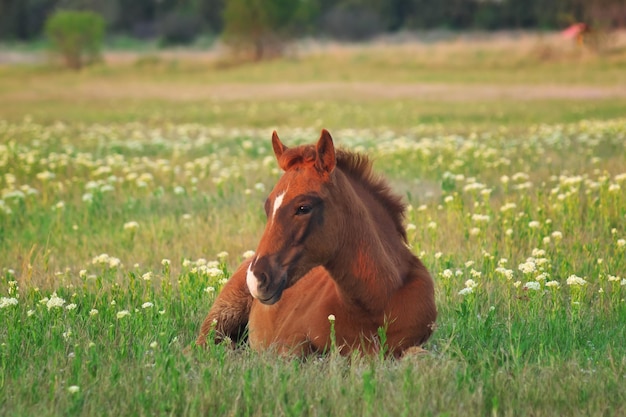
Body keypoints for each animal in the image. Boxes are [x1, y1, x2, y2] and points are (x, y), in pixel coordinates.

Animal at [195, 130, 434, 358]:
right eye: (268, 206)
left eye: (303, 207)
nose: (257, 278)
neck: (377, 303)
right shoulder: (287, 342)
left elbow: (419, 355)